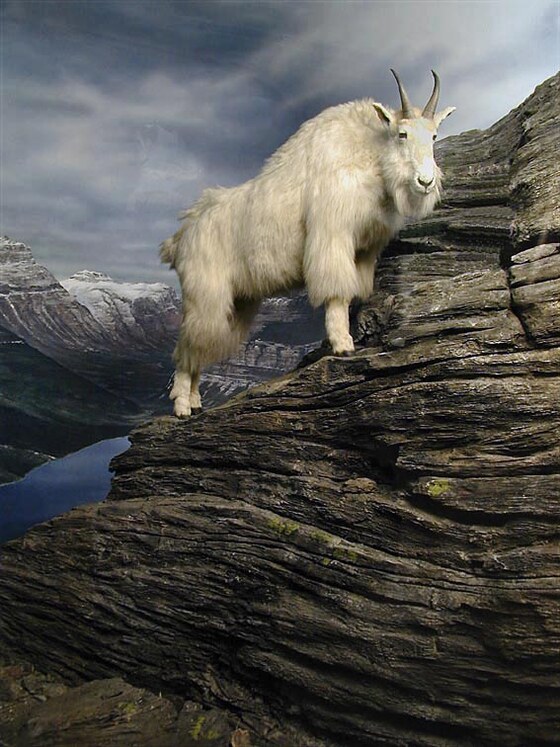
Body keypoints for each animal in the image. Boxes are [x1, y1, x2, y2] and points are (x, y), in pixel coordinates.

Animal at [160, 70, 455, 417]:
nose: (425, 182)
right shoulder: (332, 234)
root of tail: (178, 240)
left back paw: (195, 402)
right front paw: (343, 345)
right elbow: (336, 292)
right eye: (402, 134)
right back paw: (182, 405)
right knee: (187, 346)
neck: (368, 157)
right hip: (205, 294)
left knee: (200, 346)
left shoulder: (364, 251)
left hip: (235, 301)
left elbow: (355, 290)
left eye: (434, 136)